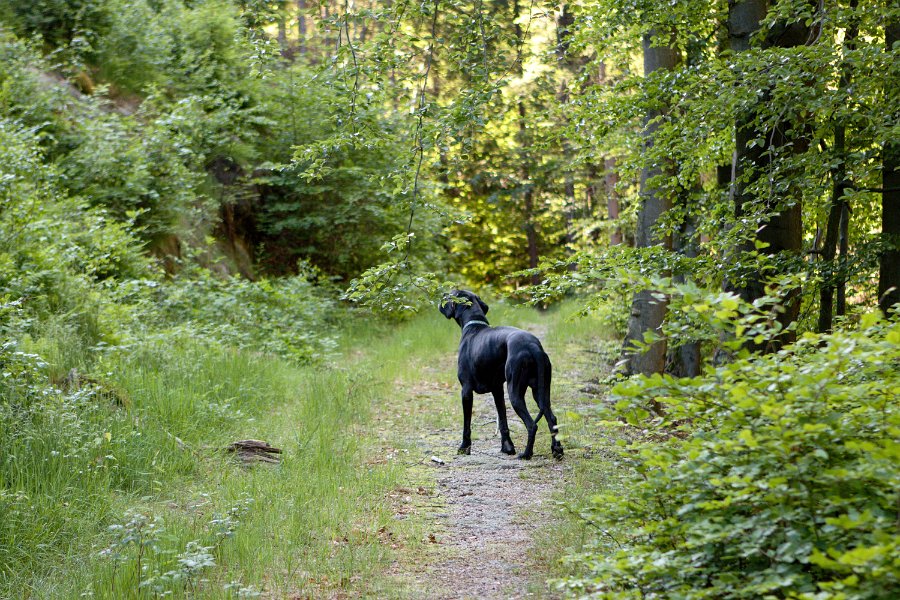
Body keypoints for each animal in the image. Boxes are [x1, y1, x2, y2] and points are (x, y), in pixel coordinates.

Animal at [438, 290, 564, 460]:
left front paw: (464, 448)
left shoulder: (466, 390)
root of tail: (533, 346)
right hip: (540, 392)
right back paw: (557, 449)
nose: (442, 298)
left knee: (532, 424)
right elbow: (503, 419)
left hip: (515, 392)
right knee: (551, 418)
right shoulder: (497, 390)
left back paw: (527, 454)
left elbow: (467, 424)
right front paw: (508, 447)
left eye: (451, 294)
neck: (474, 325)